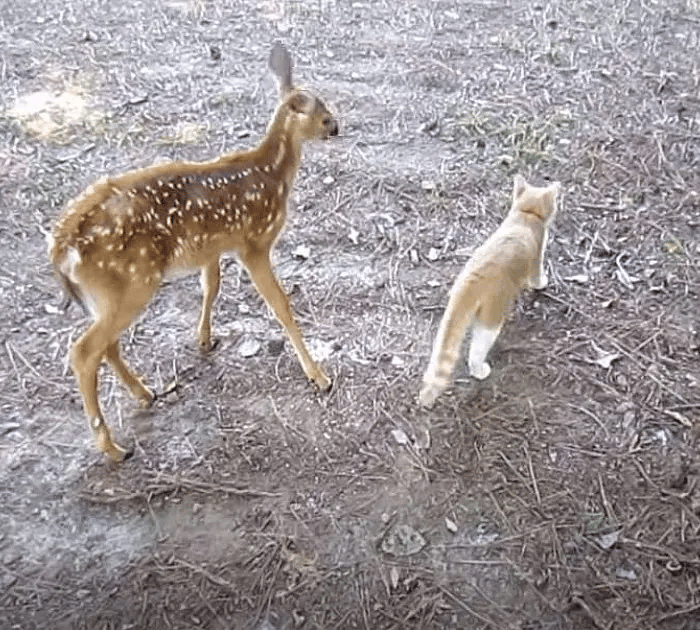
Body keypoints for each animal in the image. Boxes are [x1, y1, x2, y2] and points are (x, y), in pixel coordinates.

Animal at [47, 42, 338, 462]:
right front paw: (318, 376)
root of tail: (60, 248)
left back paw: (145, 394)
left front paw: (203, 338)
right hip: (134, 280)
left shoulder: (214, 246)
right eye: (322, 112)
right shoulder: (253, 242)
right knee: (84, 351)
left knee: (106, 345)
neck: (271, 172)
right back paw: (112, 447)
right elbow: (280, 305)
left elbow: (210, 286)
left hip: (105, 293)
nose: (337, 127)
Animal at [418, 175, 560, 408]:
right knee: (476, 350)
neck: (525, 214)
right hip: (492, 317)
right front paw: (542, 283)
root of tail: (472, 279)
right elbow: (537, 277)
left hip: (448, 321)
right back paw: (480, 370)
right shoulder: (537, 257)